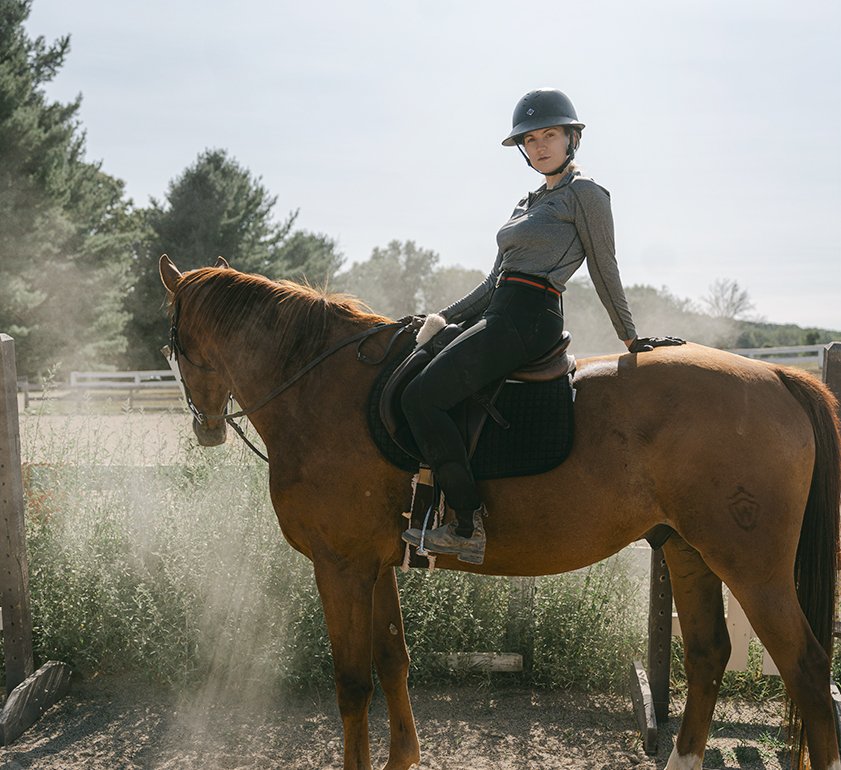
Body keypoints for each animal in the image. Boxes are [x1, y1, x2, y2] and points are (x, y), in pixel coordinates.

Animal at [158, 254, 840, 770]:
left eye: (173, 343)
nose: (205, 427)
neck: (323, 390)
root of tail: (778, 377)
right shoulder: (375, 565)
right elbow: (392, 661)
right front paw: (402, 758)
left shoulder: (341, 567)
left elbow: (352, 683)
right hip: (686, 548)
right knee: (707, 655)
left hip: (752, 568)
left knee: (806, 668)